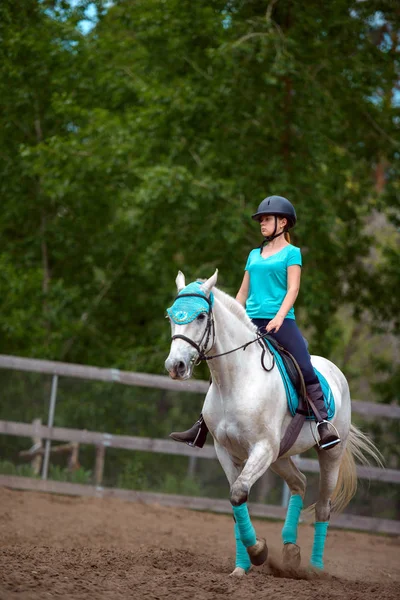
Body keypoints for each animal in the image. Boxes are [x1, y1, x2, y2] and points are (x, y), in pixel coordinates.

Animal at [165, 270, 382, 576]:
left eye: (201, 316)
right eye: (171, 315)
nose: (176, 366)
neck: (237, 380)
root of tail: (335, 371)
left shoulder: (262, 448)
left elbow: (238, 493)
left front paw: (258, 553)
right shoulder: (226, 451)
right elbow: (236, 502)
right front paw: (241, 568)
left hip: (329, 455)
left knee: (323, 507)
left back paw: (315, 569)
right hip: (280, 456)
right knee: (299, 483)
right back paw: (290, 552)